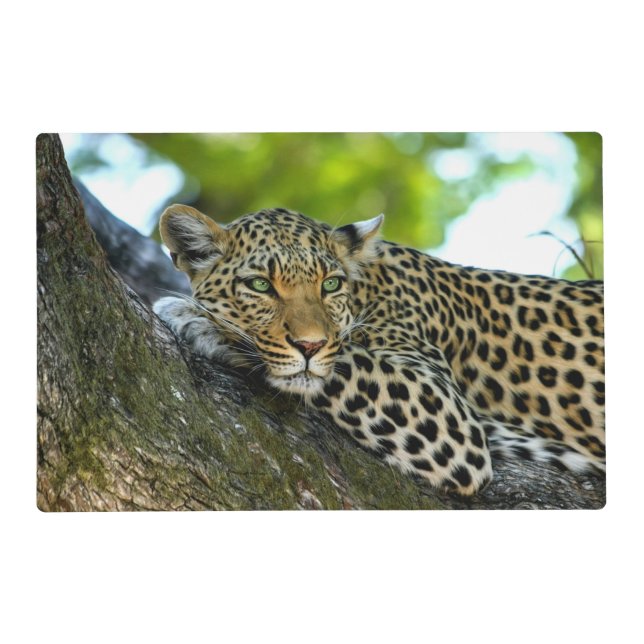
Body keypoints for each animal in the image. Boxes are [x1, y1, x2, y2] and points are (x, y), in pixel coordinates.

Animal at [153, 204, 605, 496]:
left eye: (330, 284)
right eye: (261, 285)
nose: (310, 344)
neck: (367, 289)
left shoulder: (448, 414)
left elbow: (341, 361)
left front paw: (199, 319)